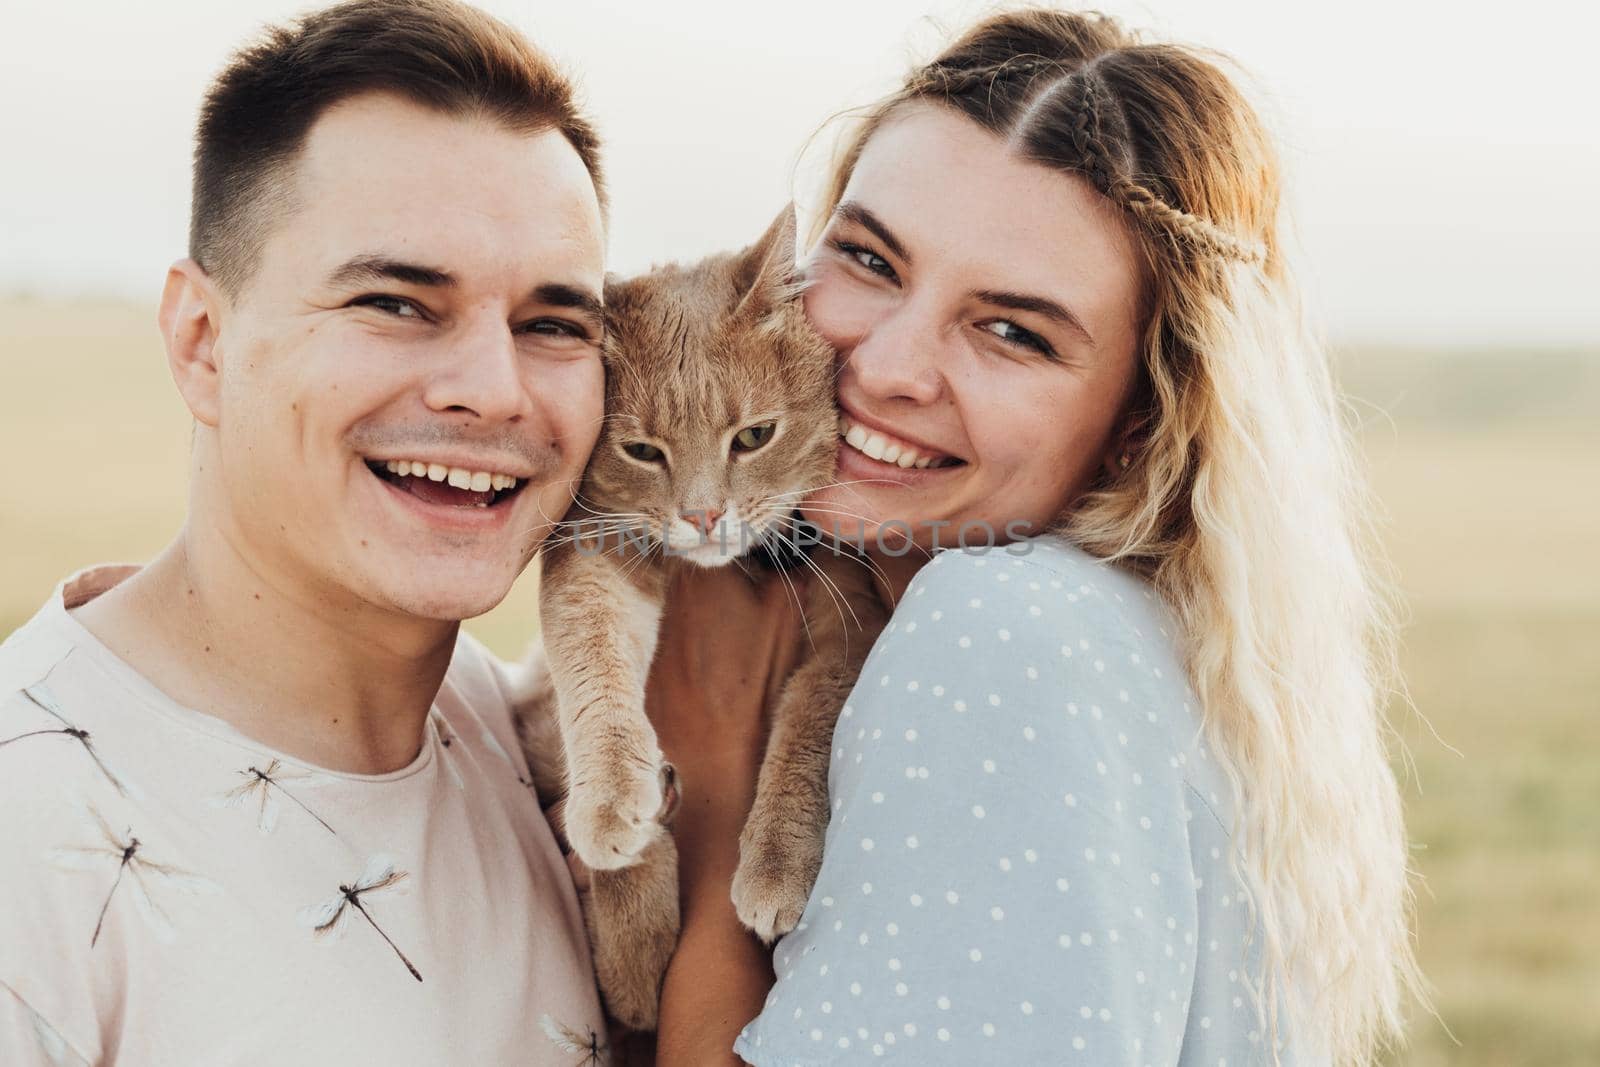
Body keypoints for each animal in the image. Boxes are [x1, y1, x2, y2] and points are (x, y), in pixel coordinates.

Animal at [512, 204, 889, 1030]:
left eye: (753, 436)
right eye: (642, 450)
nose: (703, 515)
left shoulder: (851, 630)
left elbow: (806, 724)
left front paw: (776, 864)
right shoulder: (593, 553)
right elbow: (592, 657)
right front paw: (614, 801)